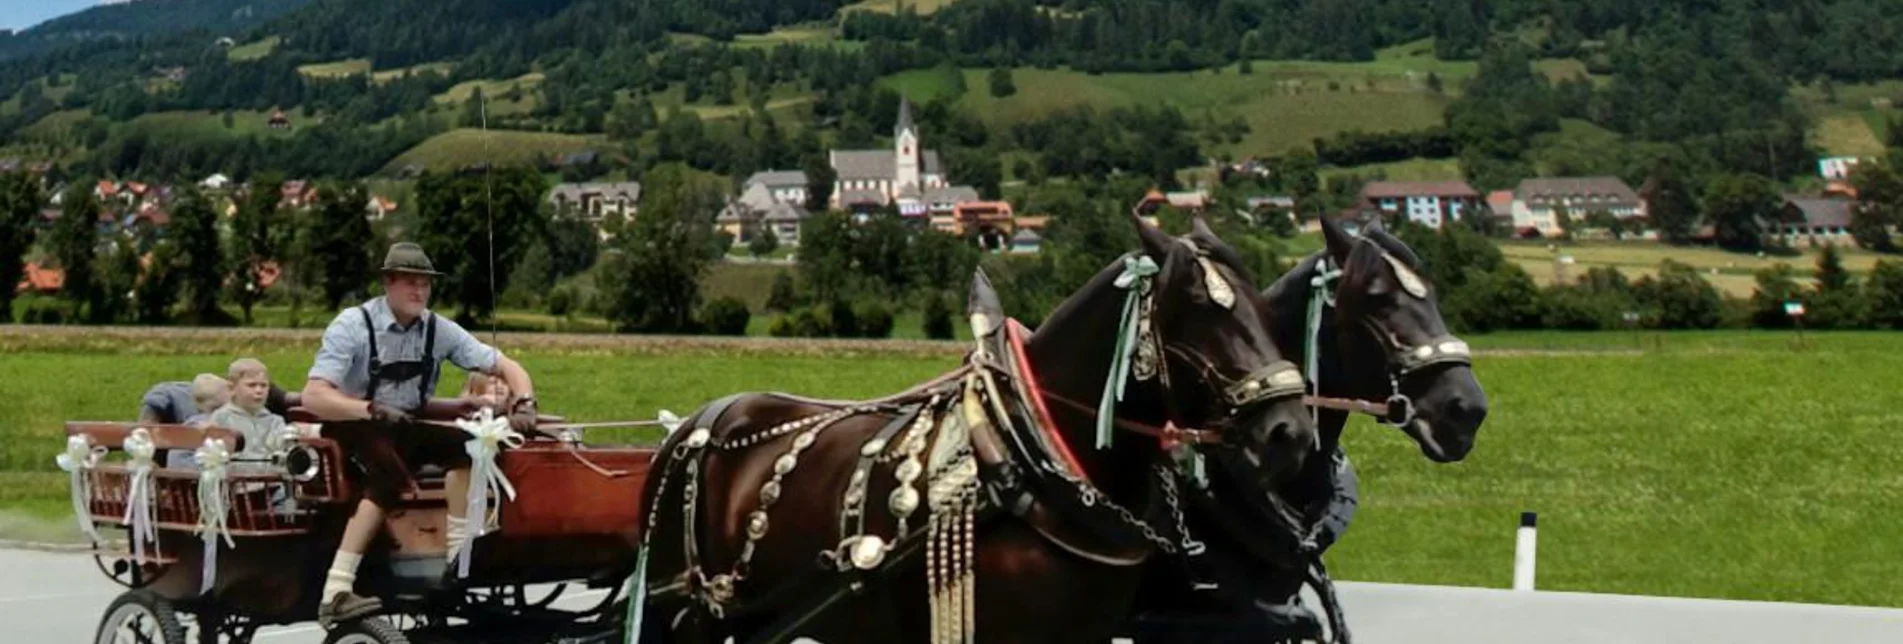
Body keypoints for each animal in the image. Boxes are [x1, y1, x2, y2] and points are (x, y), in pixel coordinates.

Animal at [639, 213, 1324, 640]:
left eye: (1265, 309)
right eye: (1197, 310)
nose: (1290, 432)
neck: (1035, 458)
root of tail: (696, 424)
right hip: (684, 614)